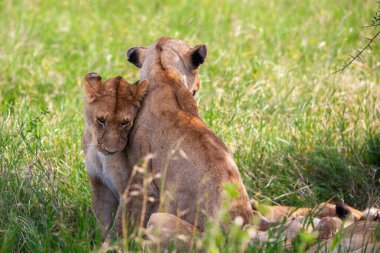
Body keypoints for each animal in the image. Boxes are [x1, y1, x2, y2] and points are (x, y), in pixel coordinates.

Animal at [82, 72, 148, 237]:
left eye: (125, 123)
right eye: (101, 120)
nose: (110, 150)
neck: (101, 158)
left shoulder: (129, 191)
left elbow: (118, 227)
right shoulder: (100, 185)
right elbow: (102, 224)